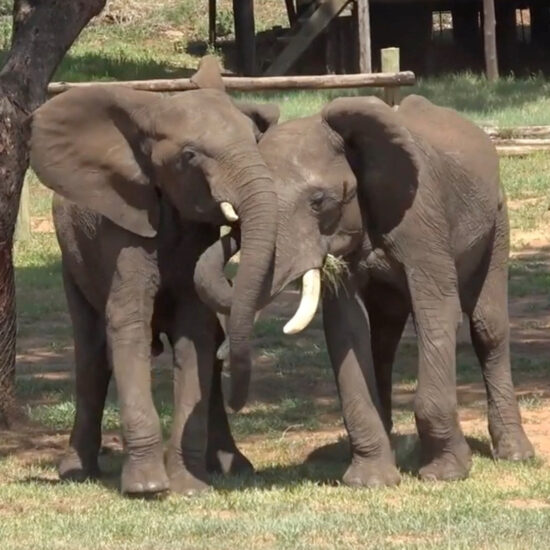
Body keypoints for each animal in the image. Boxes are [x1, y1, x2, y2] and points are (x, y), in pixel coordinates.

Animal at [29, 58, 280, 498]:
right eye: (190, 155)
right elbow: (127, 323)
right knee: (92, 355)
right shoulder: (122, 229)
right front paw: (147, 488)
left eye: (255, 138)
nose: (234, 223)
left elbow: (195, 335)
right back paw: (76, 471)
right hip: (71, 262)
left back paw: (234, 468)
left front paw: (189, 487)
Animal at [196, 94, 536, 488]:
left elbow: (437, 313)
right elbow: (347, 328)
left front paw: (446, 473)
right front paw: (370, 480)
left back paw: (516, 453)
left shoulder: (422, 218)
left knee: (487, 327)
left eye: (319, 201)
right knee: (383, 340)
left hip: (497, 220)